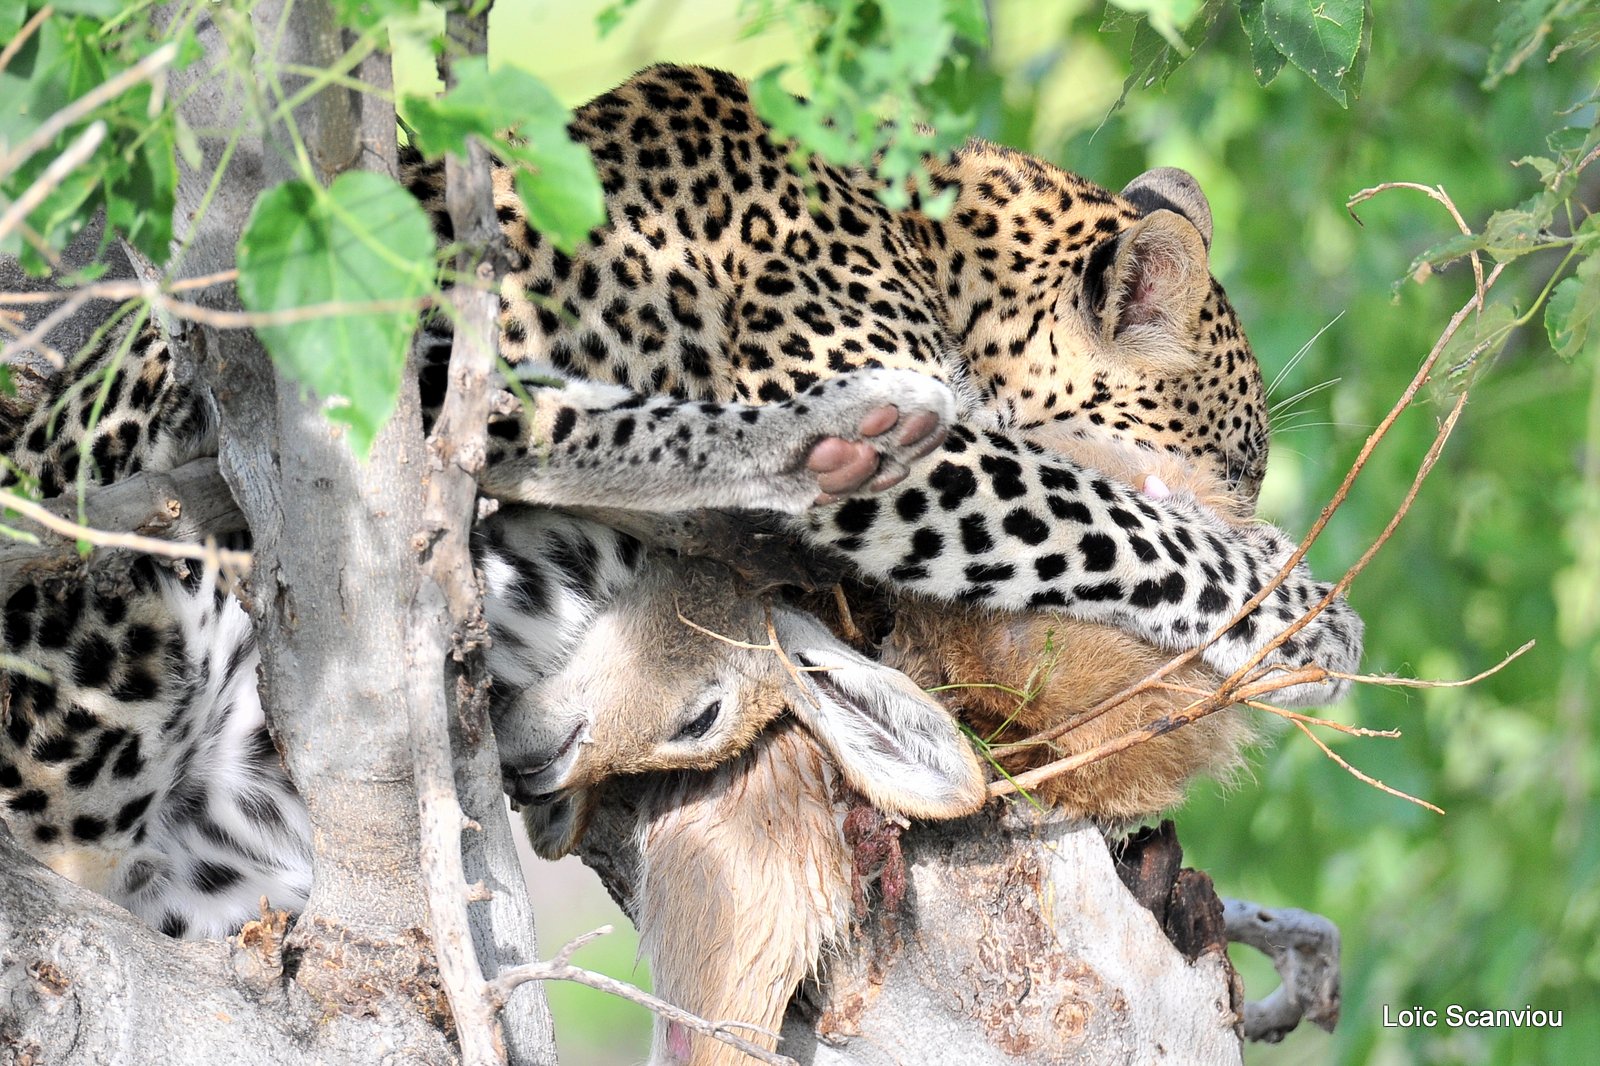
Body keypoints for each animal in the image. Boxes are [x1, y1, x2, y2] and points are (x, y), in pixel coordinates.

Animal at [6, 64, 1363, 941]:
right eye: (1234, 455)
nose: (1251, 500)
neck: (940, 250)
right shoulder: (919, 443)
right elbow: (1091, 516)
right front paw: (1299, 613)